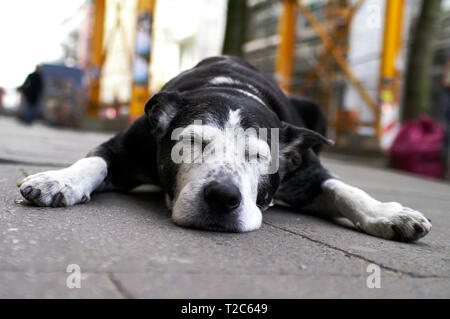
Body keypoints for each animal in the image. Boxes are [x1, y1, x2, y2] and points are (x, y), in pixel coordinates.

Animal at [18, 57, 432, 242]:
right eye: (190, 143)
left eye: (260, 157)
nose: (222, 197)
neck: (233, 90)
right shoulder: (126, 145)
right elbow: (94, 162)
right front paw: (59, 180)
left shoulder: (307, 171)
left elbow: (345, 189)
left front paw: (388, 214)